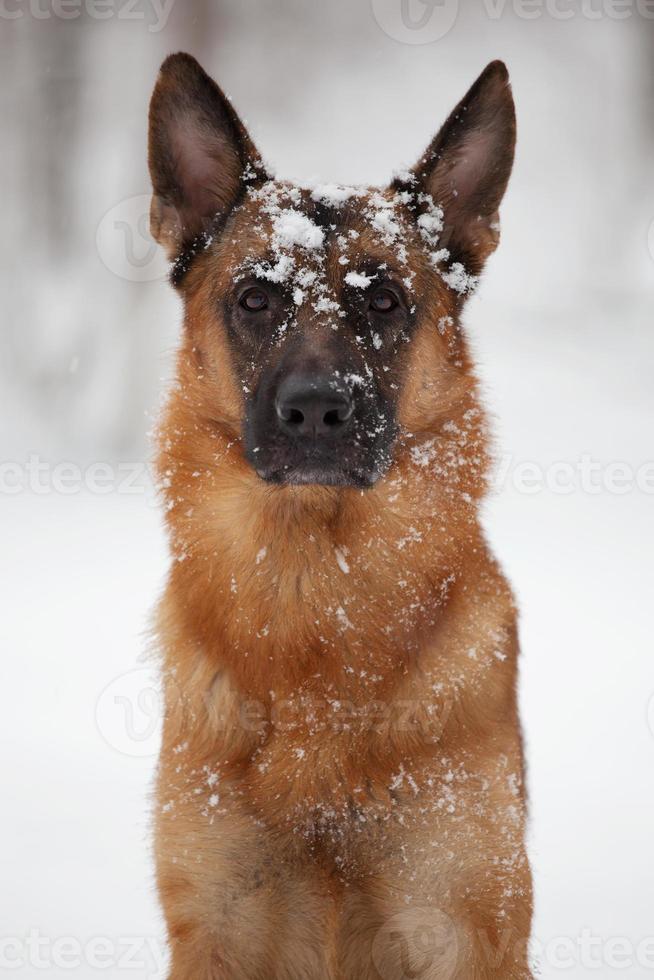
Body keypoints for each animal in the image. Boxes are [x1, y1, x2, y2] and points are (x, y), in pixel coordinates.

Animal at [147, 53, 532, 980]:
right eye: (255, 298)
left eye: (384, 300)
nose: (318, 410)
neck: (317, 587)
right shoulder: (215, 931)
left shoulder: (468, 932)